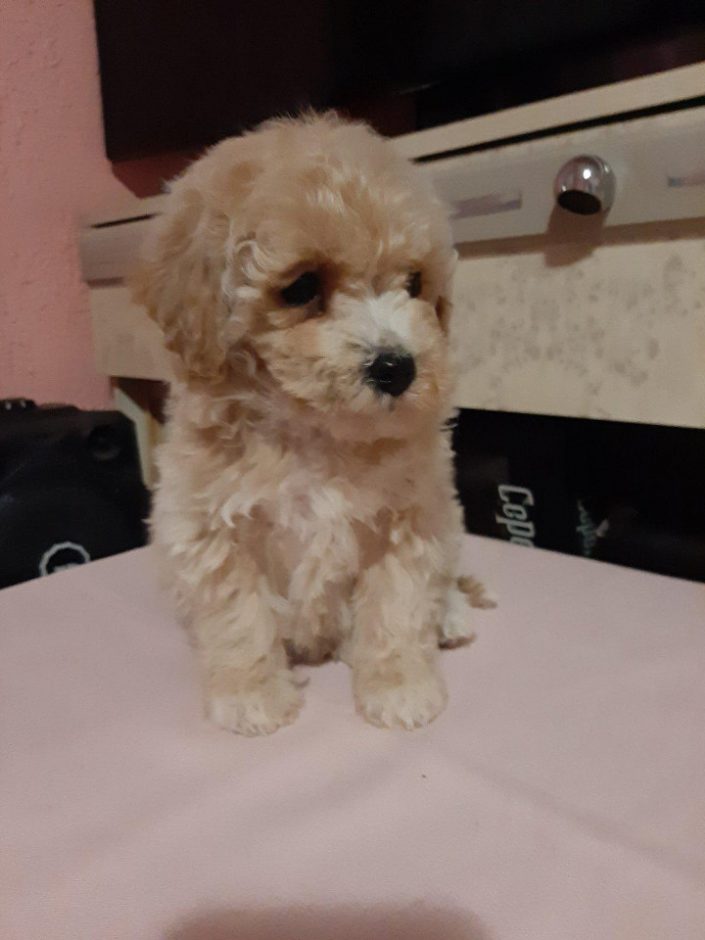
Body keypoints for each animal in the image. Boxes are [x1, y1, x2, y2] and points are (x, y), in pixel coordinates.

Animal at [134, 113, 491, 735]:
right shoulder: (210, 525)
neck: (314, 430)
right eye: (301, 287)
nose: (397, 367)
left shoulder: (412, 514)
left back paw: (450, 615)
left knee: (445, 576)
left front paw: (399, 688)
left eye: (414, 283)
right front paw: (250, 694)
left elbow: (398, 606)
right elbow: (238, 614)